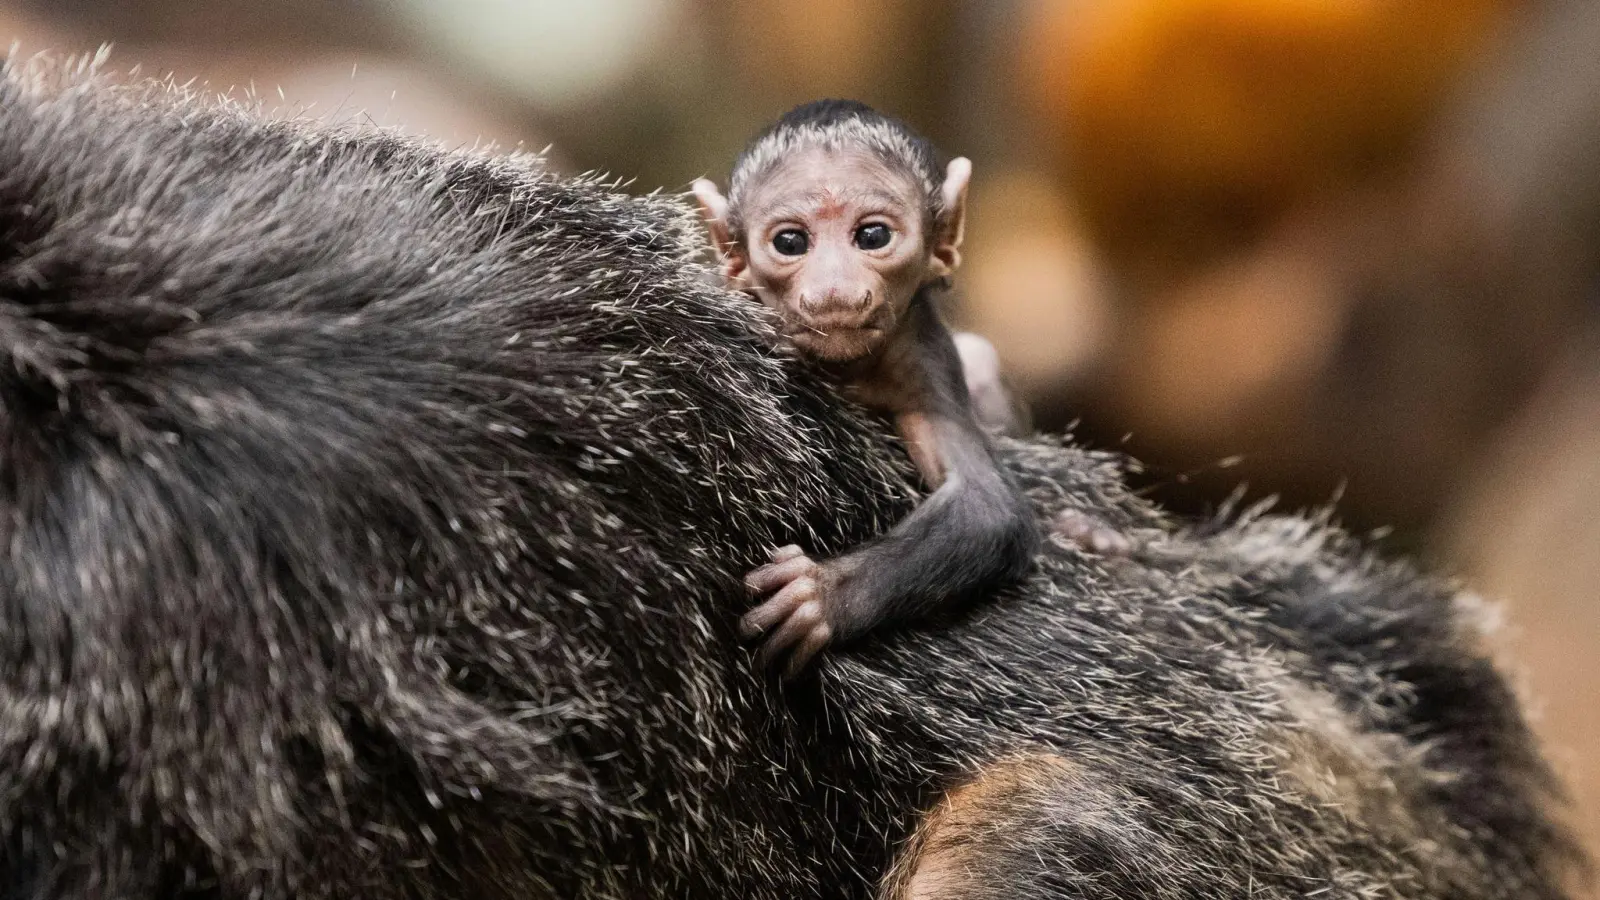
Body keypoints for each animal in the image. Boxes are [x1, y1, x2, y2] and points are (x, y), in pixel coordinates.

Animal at [694, 99, 1043, 672]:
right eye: (790, 242)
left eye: (873, 236)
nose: (835, 291)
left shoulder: (924, 356)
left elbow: (987, 503)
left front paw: (821, 595)